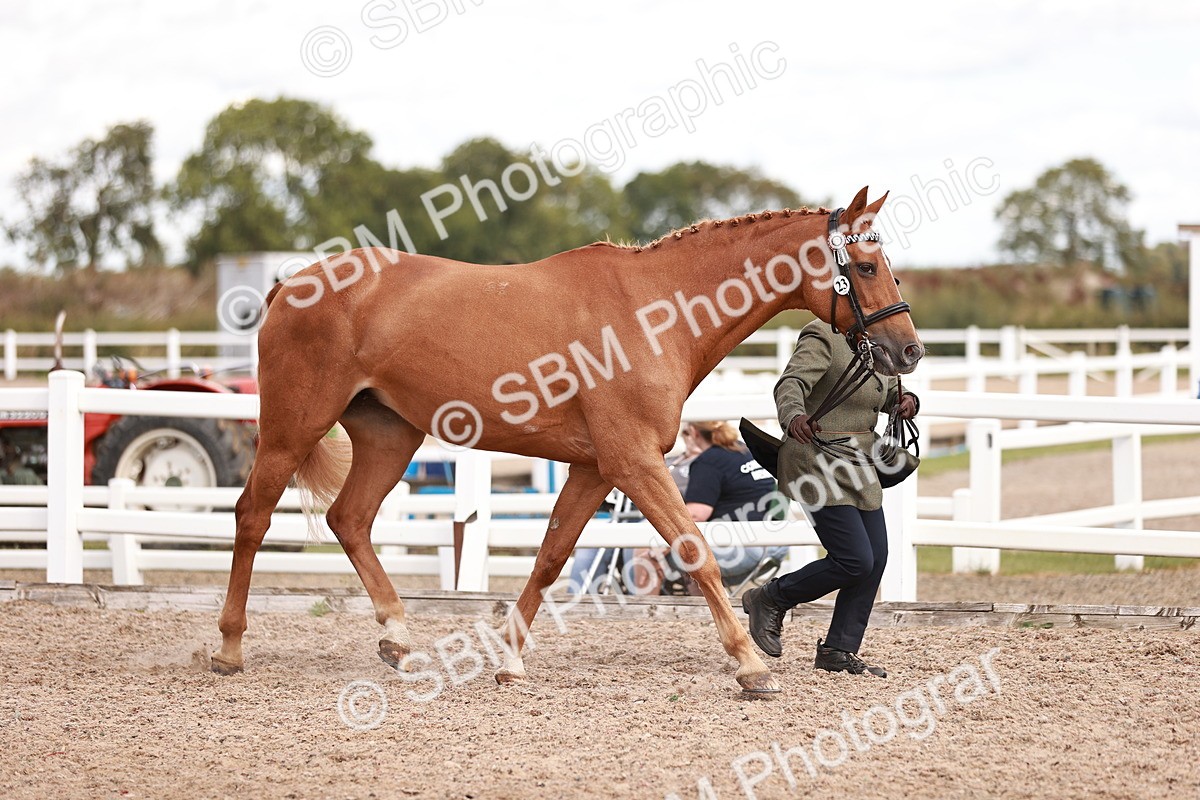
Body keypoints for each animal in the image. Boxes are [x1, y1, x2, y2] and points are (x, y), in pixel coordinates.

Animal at [210, 186, 923, 695]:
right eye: (865, 266)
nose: (908, 351)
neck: (656, 310)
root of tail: (291, 284)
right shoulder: (634, 462)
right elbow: (696, 552)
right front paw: (750, 665)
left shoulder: (594, 468)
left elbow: (551, 558)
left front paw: (510, 662)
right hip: (293, 427)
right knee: (252, 516)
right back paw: (229, 647)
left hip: (390, 435)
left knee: (350, 519)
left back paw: (397, 639)